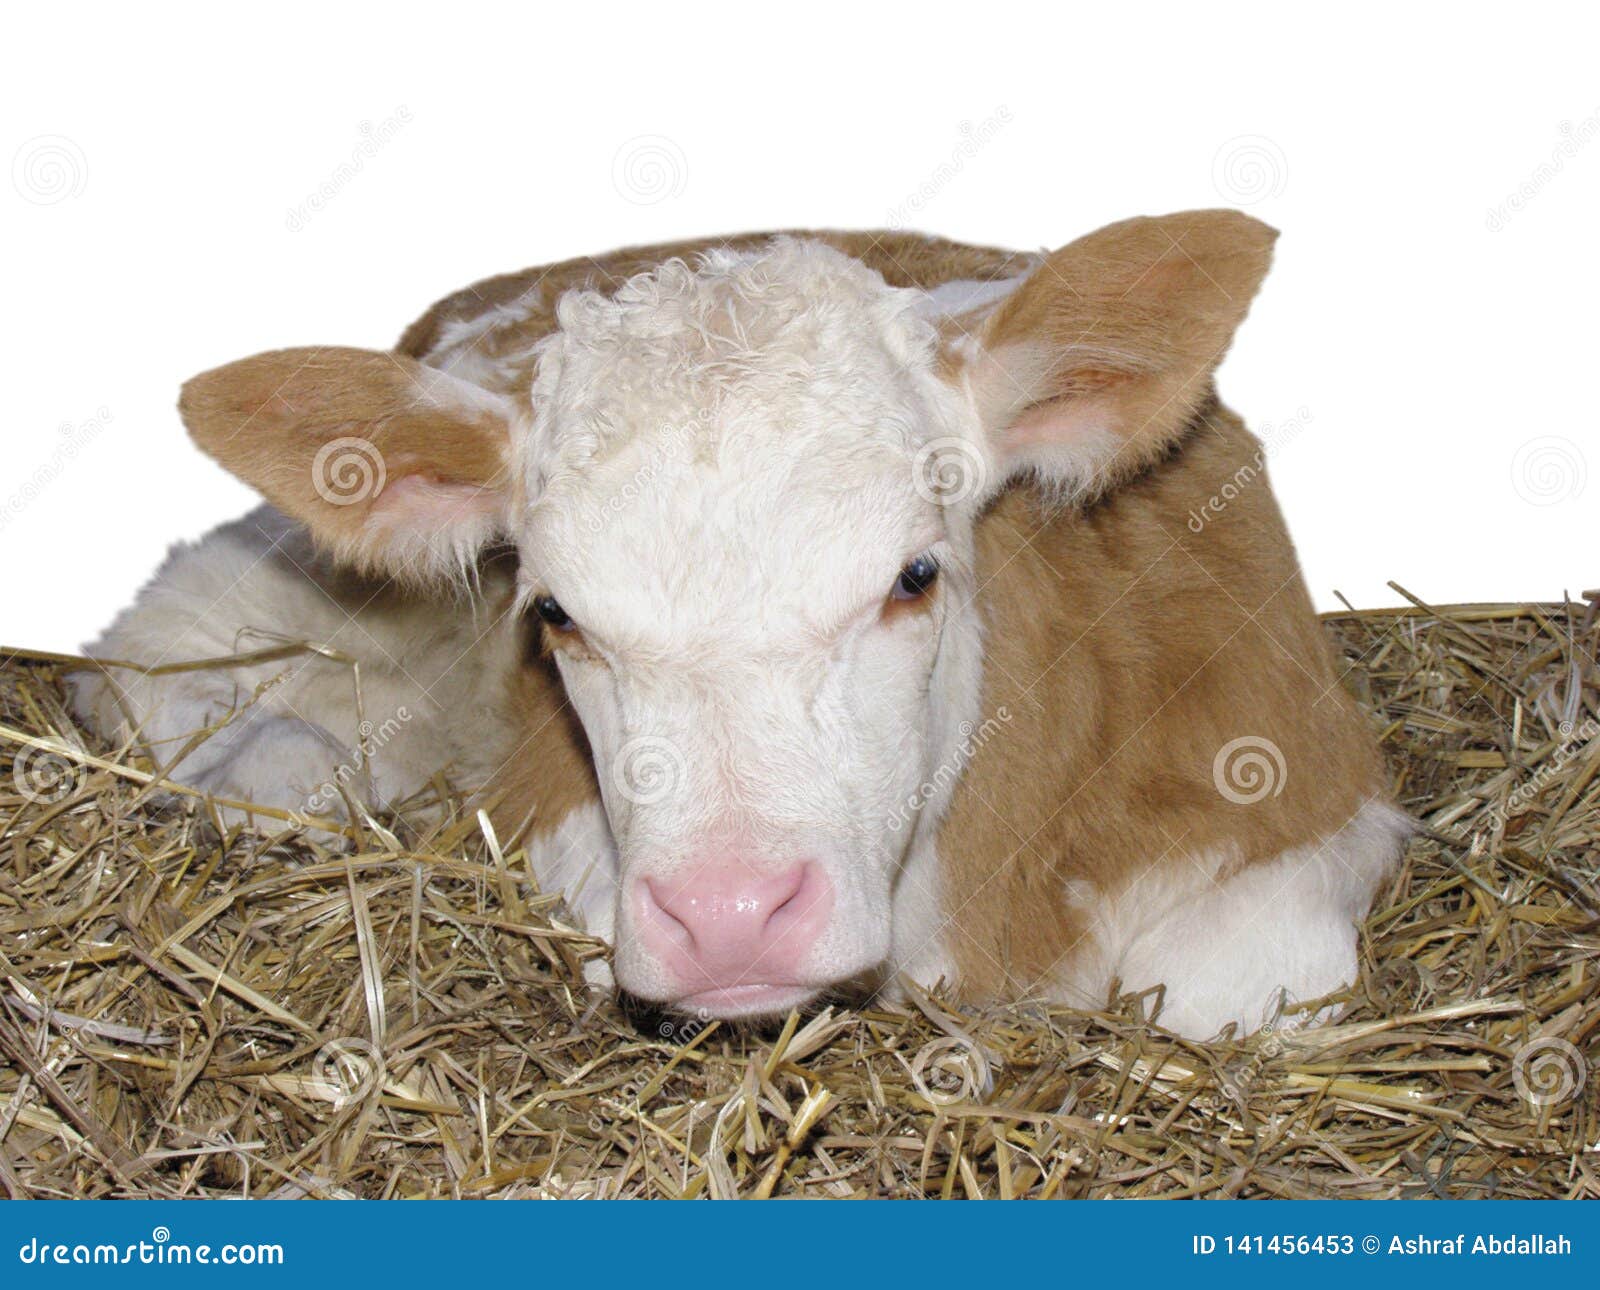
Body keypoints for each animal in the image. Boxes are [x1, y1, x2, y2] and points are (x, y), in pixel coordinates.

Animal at [70, 212, 1411, 1039]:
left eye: (914, 575)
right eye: (554, 612)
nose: (728, 919)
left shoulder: (1302, 797)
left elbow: (1230, 989)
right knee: (164, 672)